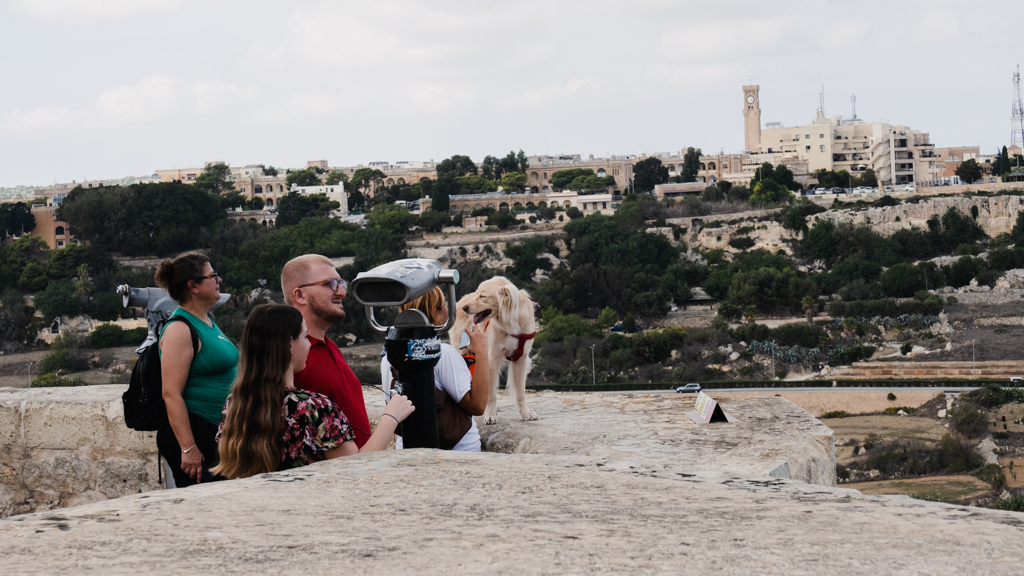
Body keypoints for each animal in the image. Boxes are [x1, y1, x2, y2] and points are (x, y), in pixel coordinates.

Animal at [452, 272, 540, 422]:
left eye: (482, 296)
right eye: (477, 294)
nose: (465, 307)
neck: (510, 322)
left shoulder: (521, 359)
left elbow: (520, 392)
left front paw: (526, 414)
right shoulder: (492, 358)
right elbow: (492, 391)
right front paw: (490, 415)